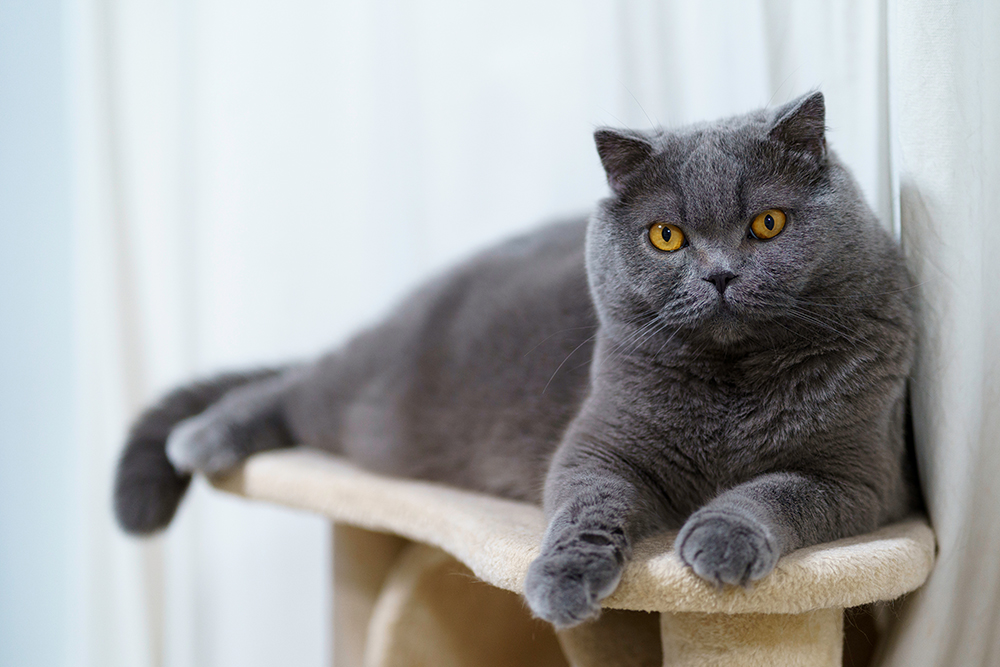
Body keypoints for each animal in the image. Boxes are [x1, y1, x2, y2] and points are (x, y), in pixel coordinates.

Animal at [113, 91, 916, 628]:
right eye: (666, 236)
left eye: (767, 223)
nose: (718, 274)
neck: (732, 381)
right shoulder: (600, 442)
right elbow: (586, 501)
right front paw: (563, 580)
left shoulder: (860, 477)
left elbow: (775, 491)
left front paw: (718, 538)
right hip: (377, 410)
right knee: (293, 384)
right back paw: (204, 436)